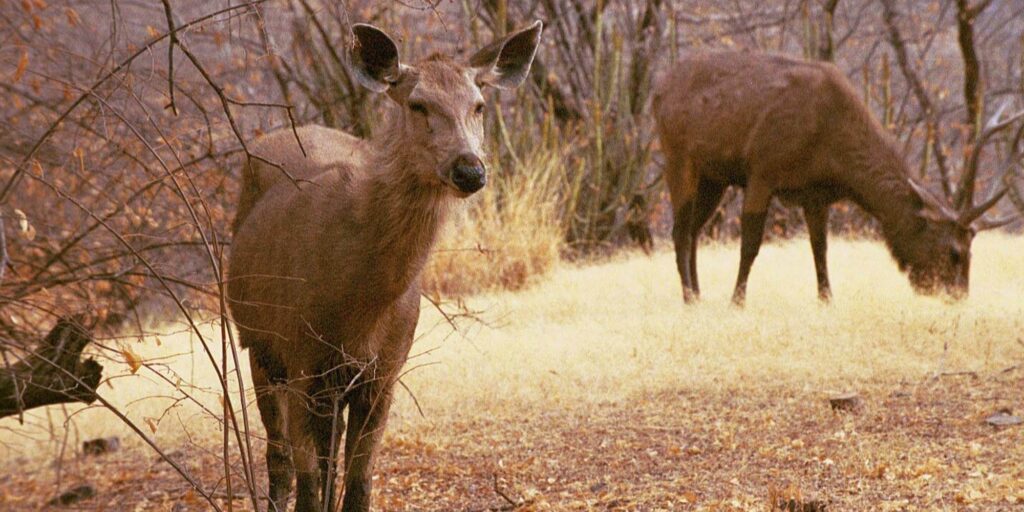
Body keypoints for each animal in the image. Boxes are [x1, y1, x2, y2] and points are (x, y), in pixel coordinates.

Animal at [225, 20, 544, 512]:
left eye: (479, 105)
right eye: (418, 104)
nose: (470, 169)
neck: (360, 305)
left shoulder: (386, 371)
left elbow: (358, 483)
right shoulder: (300, 357)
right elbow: (309, 485)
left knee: (328, 457)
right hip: (258, 344)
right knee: (279, 461)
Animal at [651, 49, 1011, 305]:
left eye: (971, 253)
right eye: (955, 252)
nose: (958, 297)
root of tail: (657, 92)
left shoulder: (815, 193)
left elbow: (820, 248)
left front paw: (826, 299)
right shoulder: (762, 169)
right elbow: (751, 244)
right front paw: (737, 301)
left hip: (714, 177)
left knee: (694, 229)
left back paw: (698, 294)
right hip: (677, 155)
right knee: (680, 230)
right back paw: (688, 297)